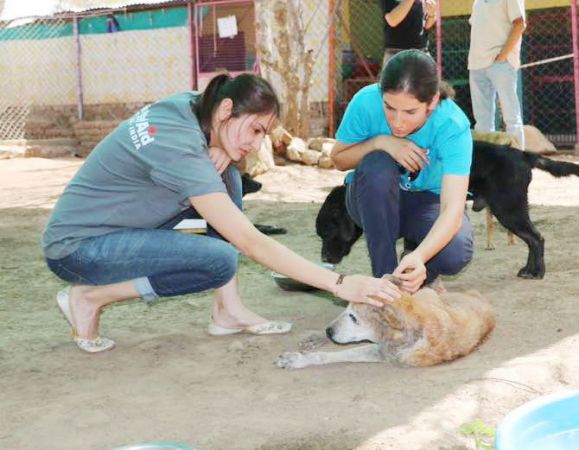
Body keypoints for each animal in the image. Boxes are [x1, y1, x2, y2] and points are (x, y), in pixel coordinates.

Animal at [278, 278, 496, 370]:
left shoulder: (381, 352)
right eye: (347, 309)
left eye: (354, 318)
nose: (329, 331)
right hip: (424, 294)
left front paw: (297, 360)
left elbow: (336, 355)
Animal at [318, 142, 579, 280]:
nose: (323, 258)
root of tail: (523, 154)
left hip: (509, 209)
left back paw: (537, 272)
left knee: (537, 238)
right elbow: (411, 252)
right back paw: (528, 269)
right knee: (532, 240)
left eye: (327, 232)